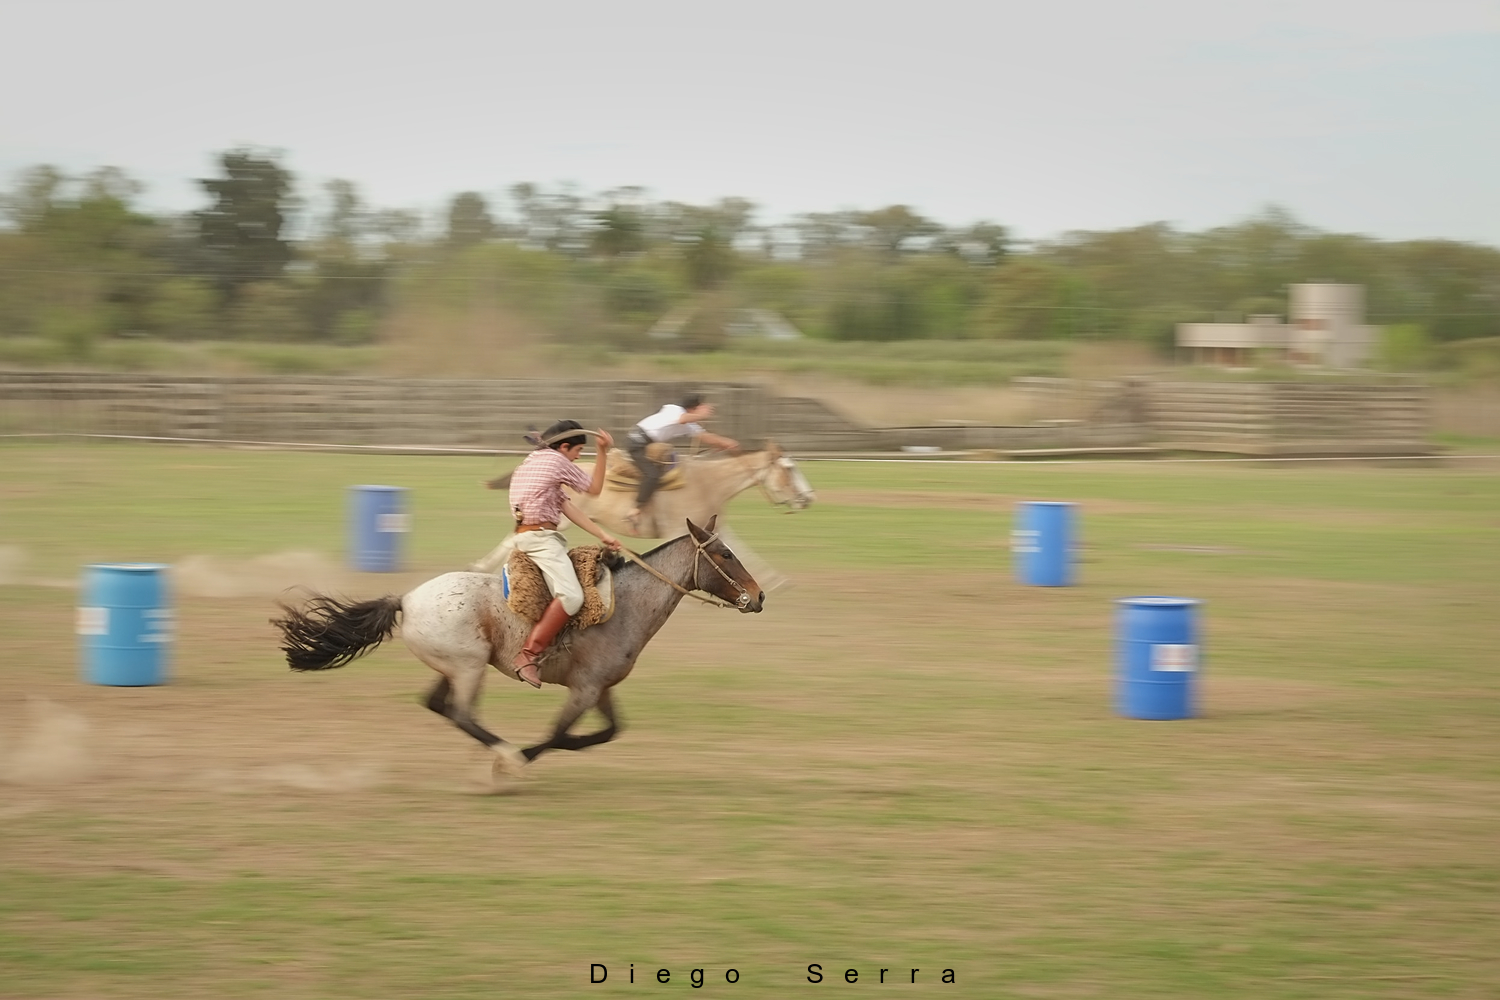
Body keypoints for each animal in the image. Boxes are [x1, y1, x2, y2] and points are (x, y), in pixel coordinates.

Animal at [271, 521, 762, 785]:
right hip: (469, 667)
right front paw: (516, 762)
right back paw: (505, 754)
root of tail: (406, 600)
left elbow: (607, 732)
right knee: (462, 713)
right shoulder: (584, 691)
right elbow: (559, 733)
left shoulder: (600, 690)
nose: (757, 597)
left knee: (438, 705)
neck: (625, 603)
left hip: (455, 667)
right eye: (724, 554)